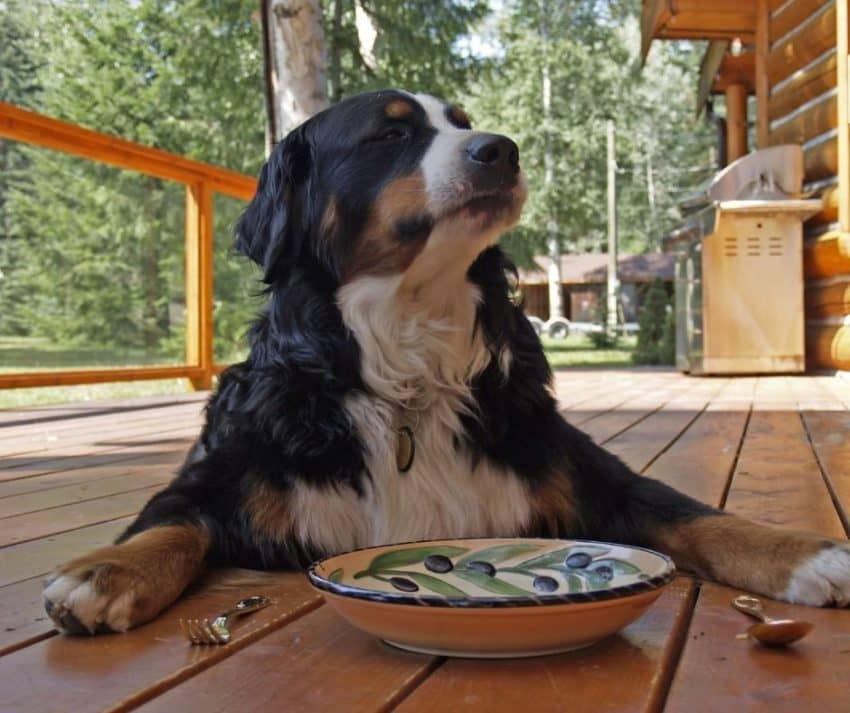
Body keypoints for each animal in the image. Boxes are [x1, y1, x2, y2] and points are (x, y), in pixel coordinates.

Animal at [43, 90, 844, 636]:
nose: (503, 149)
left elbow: (696, 515)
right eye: (392, 132)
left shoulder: (582, 468)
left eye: (463, 121)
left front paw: (805, 554)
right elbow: (171, 523)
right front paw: (103, 571)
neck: (408, 361)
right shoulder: (226, 469)